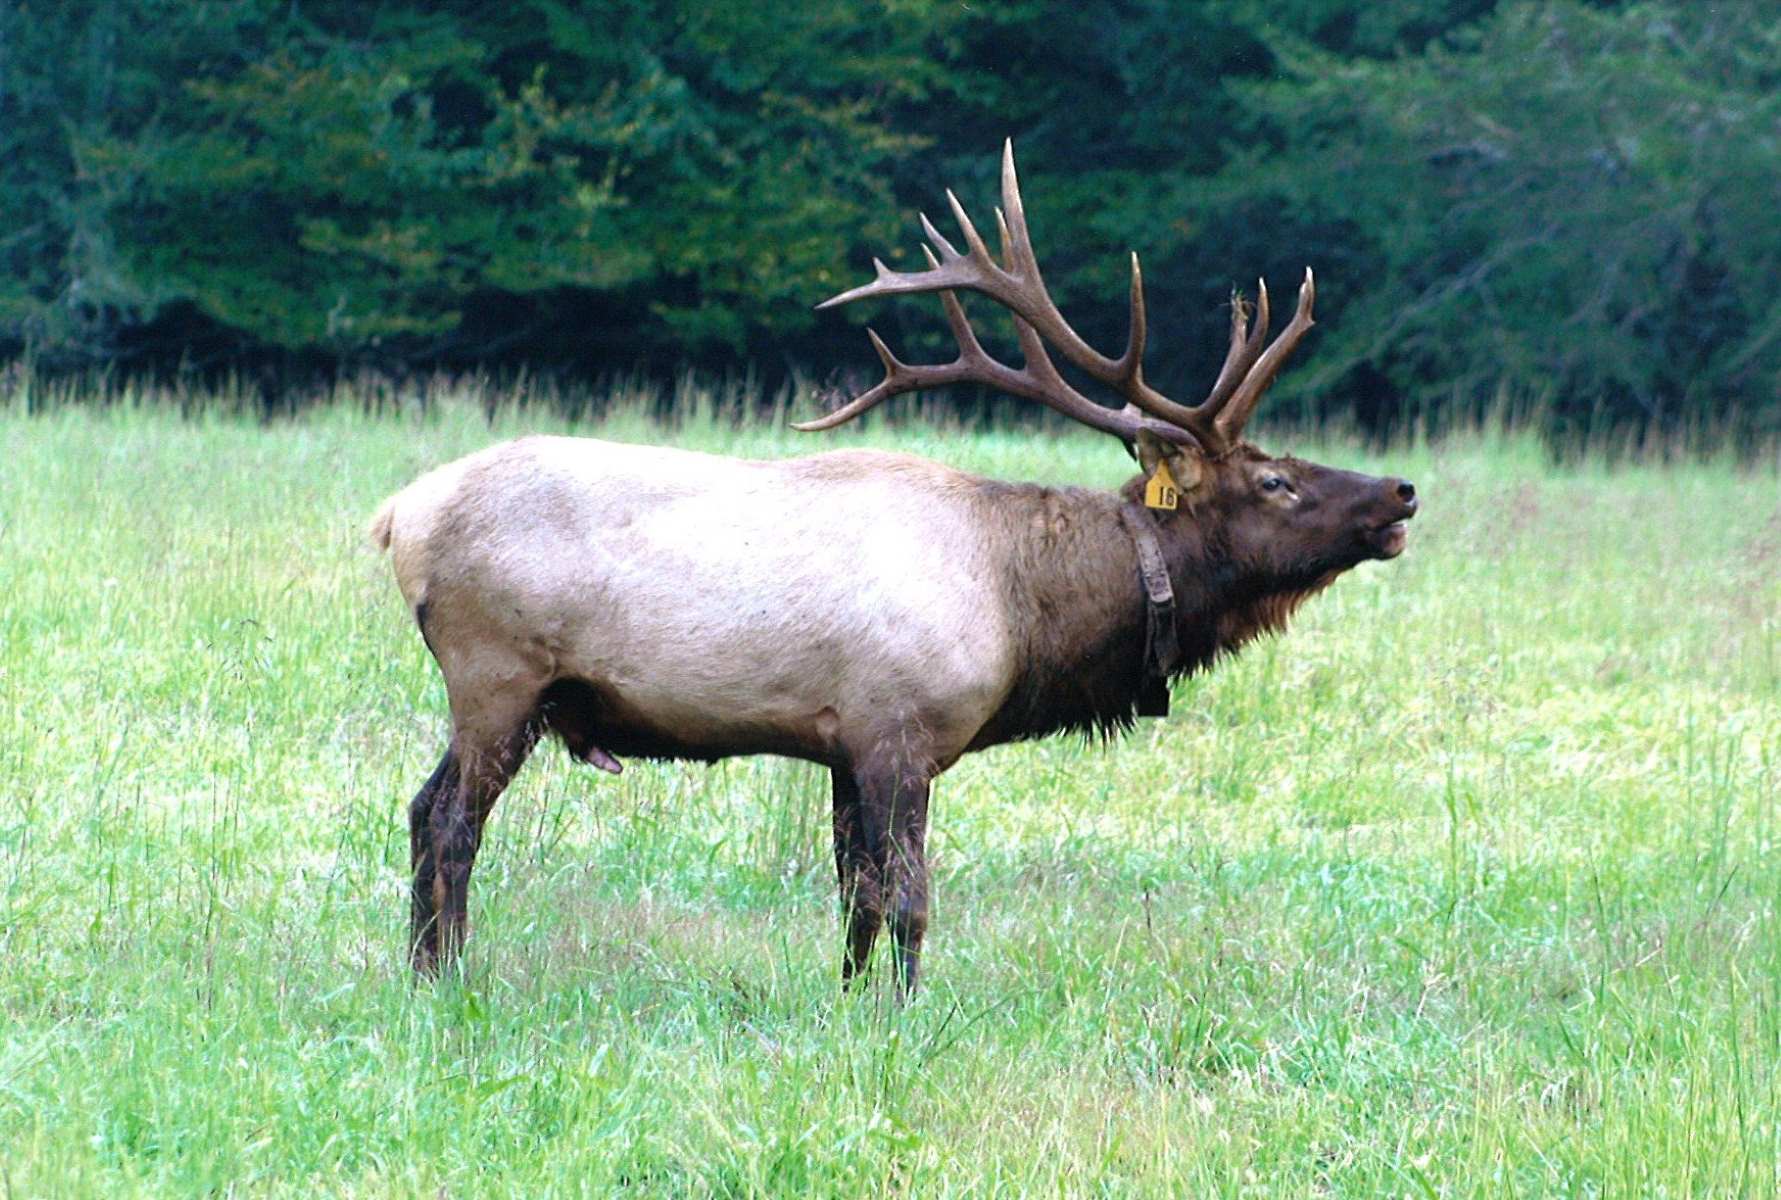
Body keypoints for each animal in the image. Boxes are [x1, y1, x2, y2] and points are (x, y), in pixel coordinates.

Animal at [370, 142, 1418, 995]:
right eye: (1276, 481)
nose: (1401, 493)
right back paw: (446, 979)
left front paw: (845, 1001)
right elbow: (908, 896)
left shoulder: (843, 744)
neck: (1025, 608)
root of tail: (398, 517)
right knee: (451, 823)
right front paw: (906, 1014)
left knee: (421, 810)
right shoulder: (900, 728)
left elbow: (856, 898)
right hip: (498, 673)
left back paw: (423, 972)